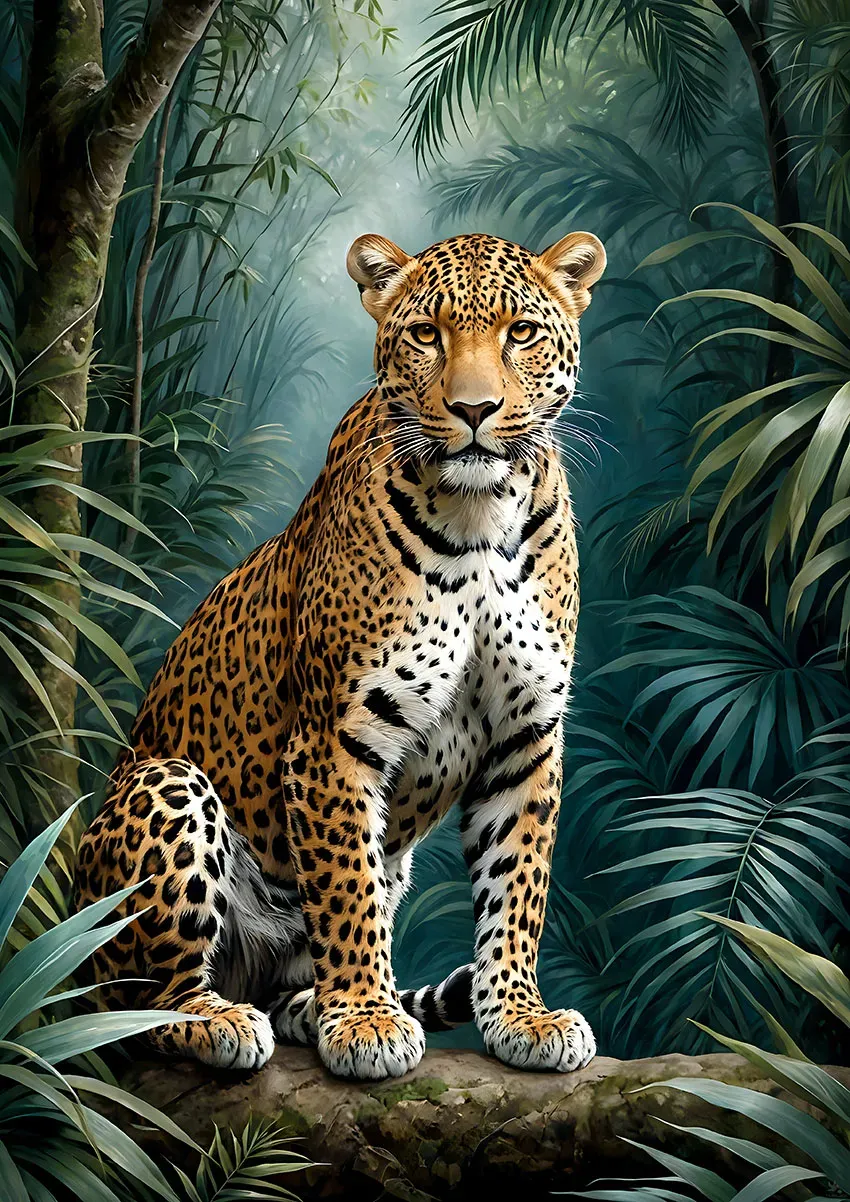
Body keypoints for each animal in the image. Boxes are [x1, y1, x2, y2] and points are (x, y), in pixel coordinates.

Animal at [74, 228, 606, 1081]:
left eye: (521, 332)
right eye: (426, 334)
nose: (475, 410)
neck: (480, 516)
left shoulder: (527, 735)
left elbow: (517, 887)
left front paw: (521, 1016)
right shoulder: (335, 735)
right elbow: (345, 888)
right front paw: (366, 1022)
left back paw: (303, 1009)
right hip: (169, 788)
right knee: (135, 1006)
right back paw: (221, 1021)